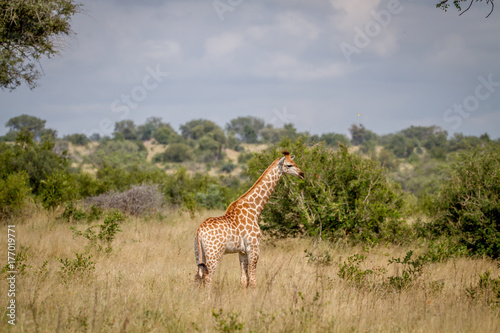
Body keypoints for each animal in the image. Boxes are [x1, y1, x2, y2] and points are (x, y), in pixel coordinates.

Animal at [194, 150, 304, 288]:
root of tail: (199, 231)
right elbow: (253, 280)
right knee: (208, 278)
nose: (302, 174)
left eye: (295, 162)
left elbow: (243, 280)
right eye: (289, 165)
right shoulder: (254, 247)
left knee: (197, 276)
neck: (255, 209)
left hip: (199, 253)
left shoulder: (242, 251)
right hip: (213, 253)